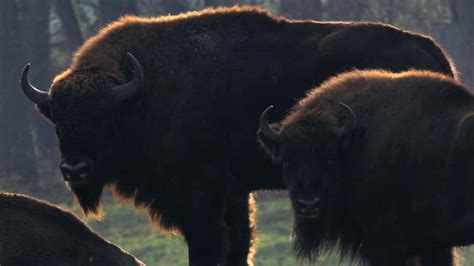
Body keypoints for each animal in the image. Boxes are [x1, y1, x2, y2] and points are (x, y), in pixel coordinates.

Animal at [260, 70, 474, 266]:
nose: (309, 204)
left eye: (331, 158)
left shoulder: (386, 241)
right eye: (287, 162)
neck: (354, 142)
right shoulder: (431, 244)